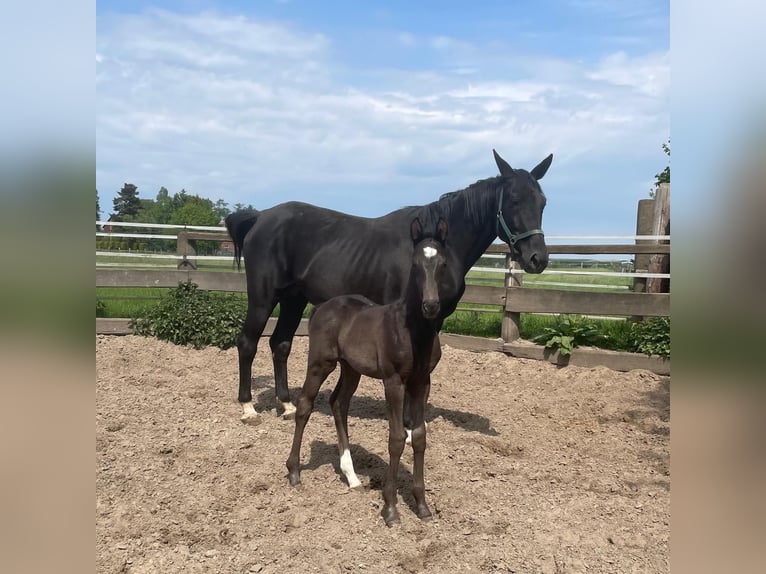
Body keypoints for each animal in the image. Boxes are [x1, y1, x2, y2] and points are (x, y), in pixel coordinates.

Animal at [225, 149, 552, 423]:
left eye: (543, 202)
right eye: (513, 200)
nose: (538, 258)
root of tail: (260, 217)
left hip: (294, 298)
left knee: (280, 344)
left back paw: (287, 405)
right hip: (263, 297)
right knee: (248, 343)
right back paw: (248, 407)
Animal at [286, 216, 455, 526]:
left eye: (443, 263)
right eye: (415, 263)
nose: (430, 305)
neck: (413, 331)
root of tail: (320, 308)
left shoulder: (422, 382)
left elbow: (420, 436)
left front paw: (422, 505)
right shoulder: (394, 381)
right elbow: (397, 438)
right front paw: (390, 508)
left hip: (351, 368)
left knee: (338, 403)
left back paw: (351, 476)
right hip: (320, 362)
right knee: (305, 404)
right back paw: (294, 471)